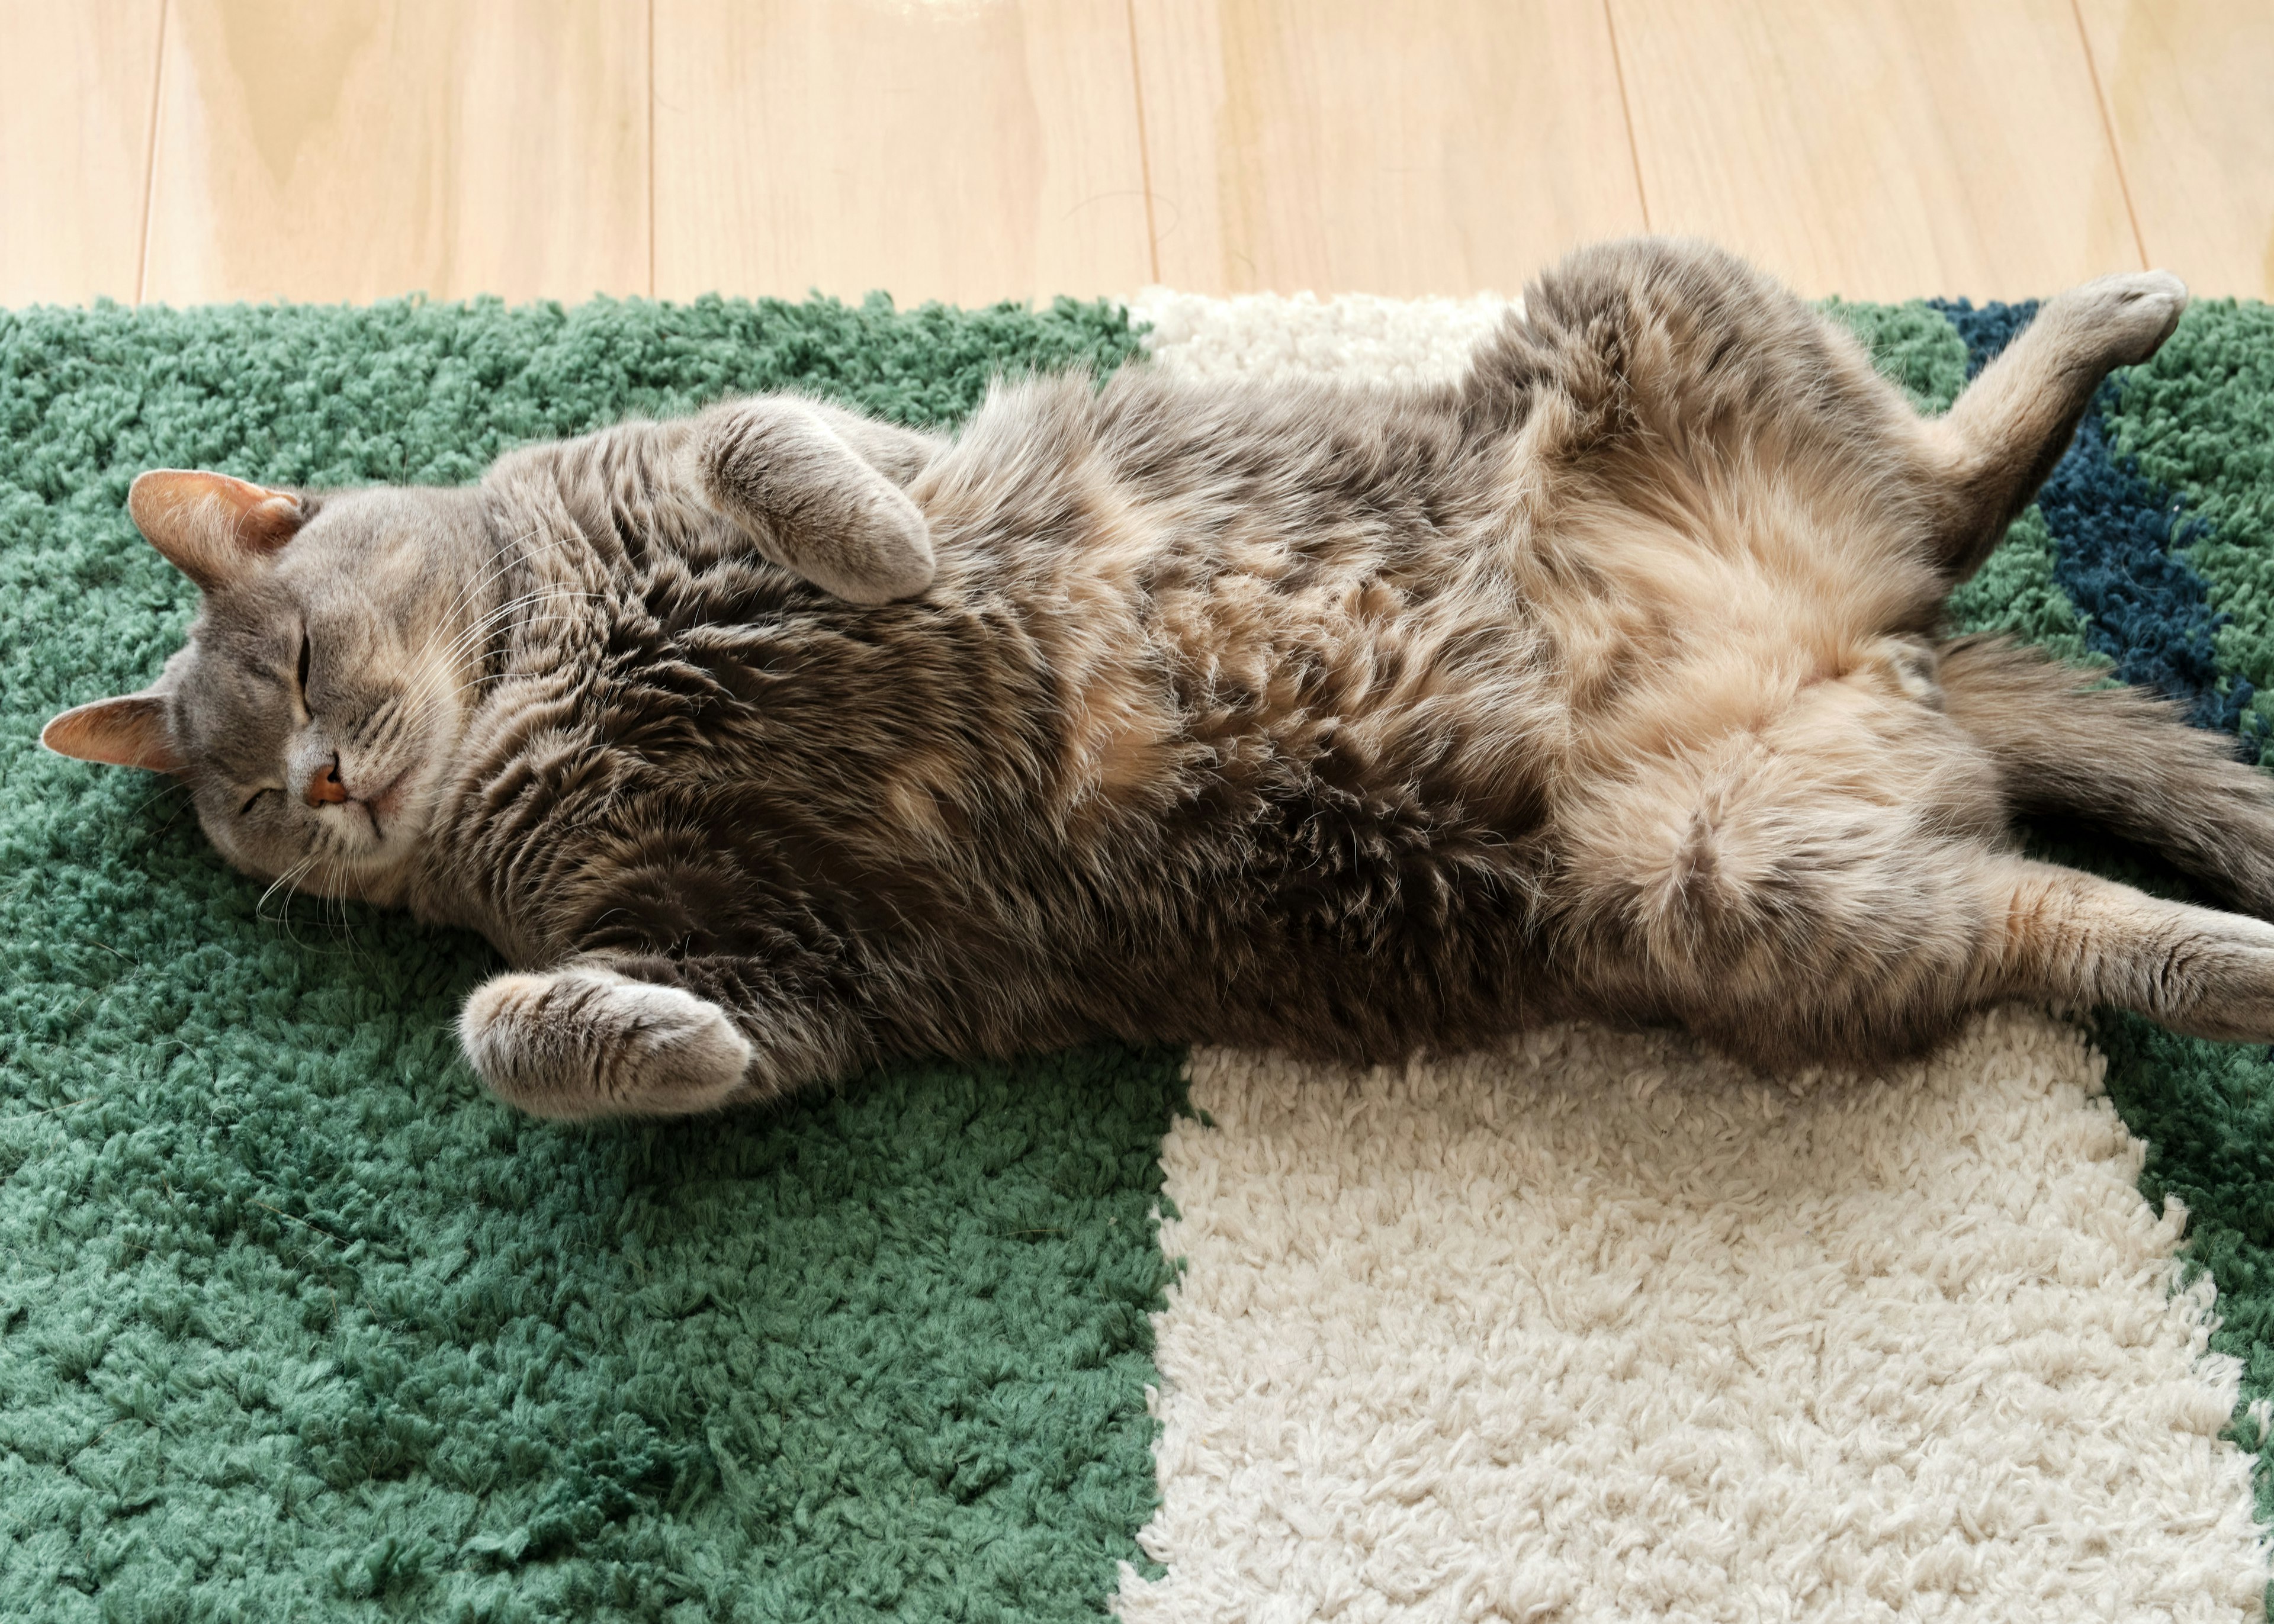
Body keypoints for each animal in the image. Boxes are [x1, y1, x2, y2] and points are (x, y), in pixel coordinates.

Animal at [36, 240, 2274, 1119]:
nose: (328, 789)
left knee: (1947, 482)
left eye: (300, 660)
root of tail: (1870, 658)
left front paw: (890, 558)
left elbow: (778, 443)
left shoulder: (733, 449)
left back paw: (2102, 312)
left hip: (1634, 298)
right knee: (2070, 917)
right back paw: (2252, 967)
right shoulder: (793, 961)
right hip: (1762, 898)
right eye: (247, 797)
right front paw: (620, 1039)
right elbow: (544, 1035)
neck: (534, 703)